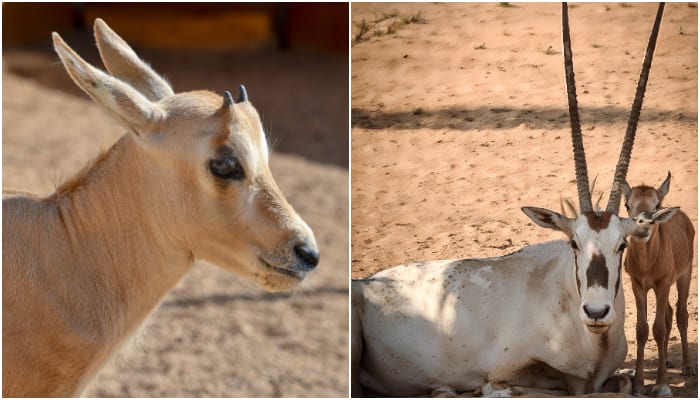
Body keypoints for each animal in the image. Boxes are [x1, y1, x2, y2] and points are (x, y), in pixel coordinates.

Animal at [624, 172, 696, 396]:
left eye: (656, 205)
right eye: (628, 205)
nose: (641, 229)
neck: (648, 263)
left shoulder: (663, 284)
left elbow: (658, 328)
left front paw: (662, 385)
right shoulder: (639, 285)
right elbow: (642, 330)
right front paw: (638, 385)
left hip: (683, 276)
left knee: (681, 314)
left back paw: (687, 366)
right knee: (669, 314)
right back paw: (667, 361)